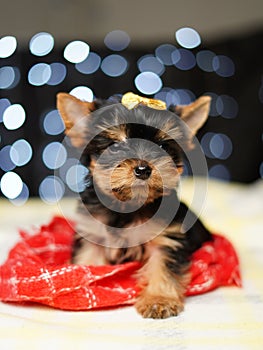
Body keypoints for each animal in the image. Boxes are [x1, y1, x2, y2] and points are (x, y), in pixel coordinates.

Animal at [57, 91, 212, 318]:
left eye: (163, 146)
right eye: (115, 146)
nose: (142, 169)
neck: (127, 207)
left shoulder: (167, 238)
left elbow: (162, 266)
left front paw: (159, 300)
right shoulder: (93, 234)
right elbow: (88, 260)